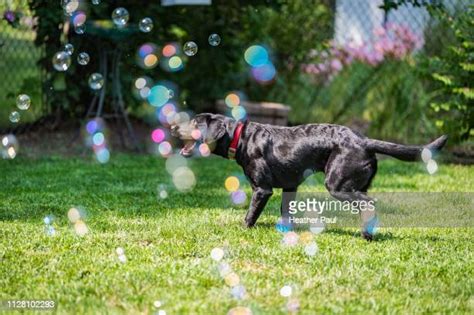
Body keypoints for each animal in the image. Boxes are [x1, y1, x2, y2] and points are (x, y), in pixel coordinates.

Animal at [171, 115, 448, 241]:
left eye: (194, 122)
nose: (172, 126)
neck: (241, 138)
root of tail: (363, 140)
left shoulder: (262, 189)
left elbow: (249, 215)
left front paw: (242, 231)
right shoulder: (289, 187)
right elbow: (286, 213)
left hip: (337, 184)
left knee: (369, 203)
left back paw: (367, 236)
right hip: (356, 183)